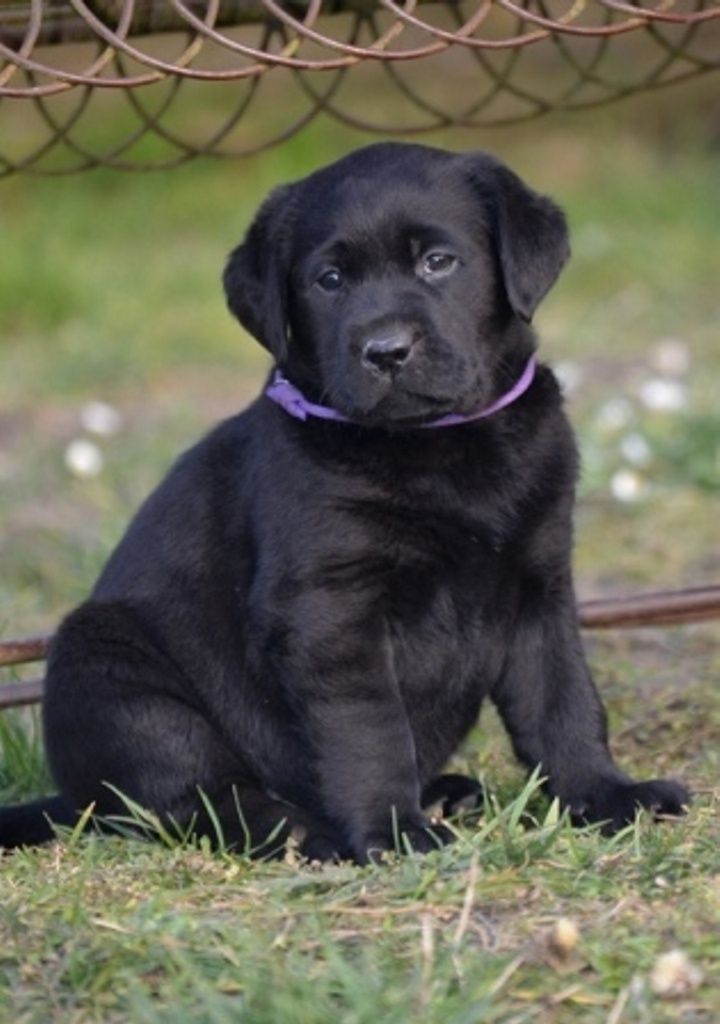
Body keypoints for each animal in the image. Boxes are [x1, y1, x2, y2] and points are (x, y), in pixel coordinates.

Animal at [0, 146, 688, 864]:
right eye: (328, 280)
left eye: (437, 261)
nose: (385, 351)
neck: (436, 445)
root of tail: (72, 800)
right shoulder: (331, 610)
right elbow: (370, 728)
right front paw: (393, 831)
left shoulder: (540, 583)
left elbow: (564, 703)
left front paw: (607, 795)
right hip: (109, 671)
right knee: (188, 799)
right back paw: (306, 830)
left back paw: (445, 792)